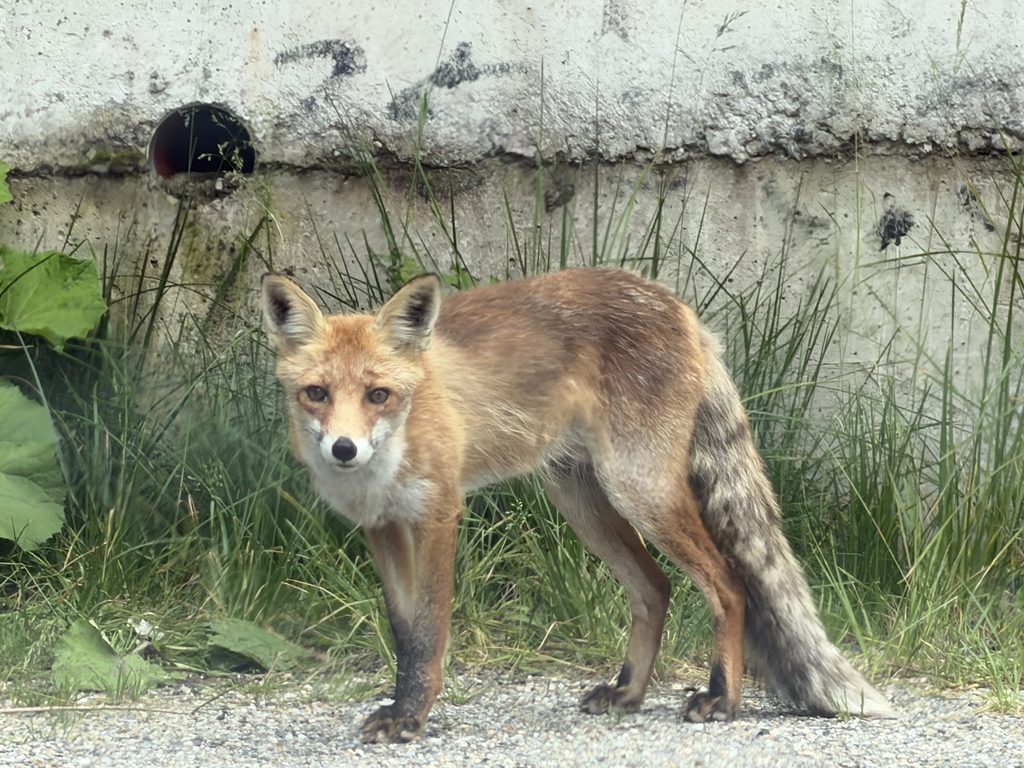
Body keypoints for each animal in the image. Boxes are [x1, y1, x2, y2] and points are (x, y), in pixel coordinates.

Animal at [260, 267, 894, 743]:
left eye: (378, 395)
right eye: (316, 393)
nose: (345, 449)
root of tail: (675, 304)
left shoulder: (439, 515)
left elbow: (428, 632)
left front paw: (413, 717)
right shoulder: (383, 526)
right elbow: (401, 632)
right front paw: (401, 708)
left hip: (640, 490)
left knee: (730, 582)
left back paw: (723, 698)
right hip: (583, 502)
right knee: (655, 588)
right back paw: (629, 691)